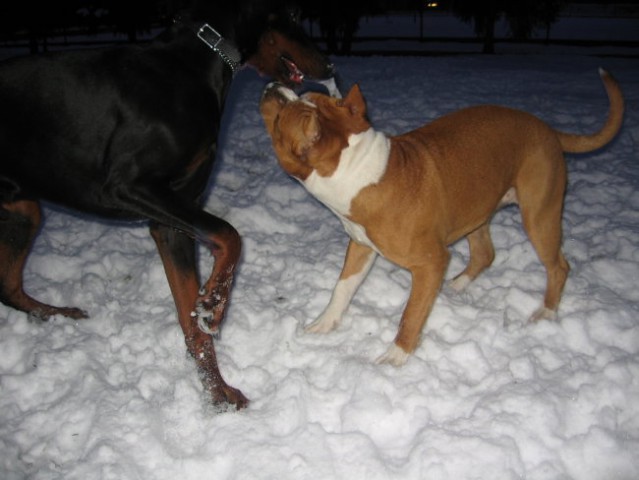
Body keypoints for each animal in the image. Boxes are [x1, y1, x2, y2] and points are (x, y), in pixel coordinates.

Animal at [0, 0, 332, 408]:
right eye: (296, 14)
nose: (330, 66)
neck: (199, 59)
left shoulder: (172, 218)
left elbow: (194, 325)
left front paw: (217, 393)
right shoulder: (130, 185)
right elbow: (231, 236)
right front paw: (213, 304)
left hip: (22, 209)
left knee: (9, 286)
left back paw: (58, 314)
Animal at [260, 70, 624, 364]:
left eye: (282, 115)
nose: (275, 85)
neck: (359, 170)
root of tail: (546, 127)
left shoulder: (430, 262)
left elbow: (410, 315)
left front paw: (397, 356)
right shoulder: (360, 246)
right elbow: (342, 289)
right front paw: (325, 324)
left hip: (539, 215)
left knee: (558, 267)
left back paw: (546, 313)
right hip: (477, 209)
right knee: (485, 254)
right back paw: (459, 284)